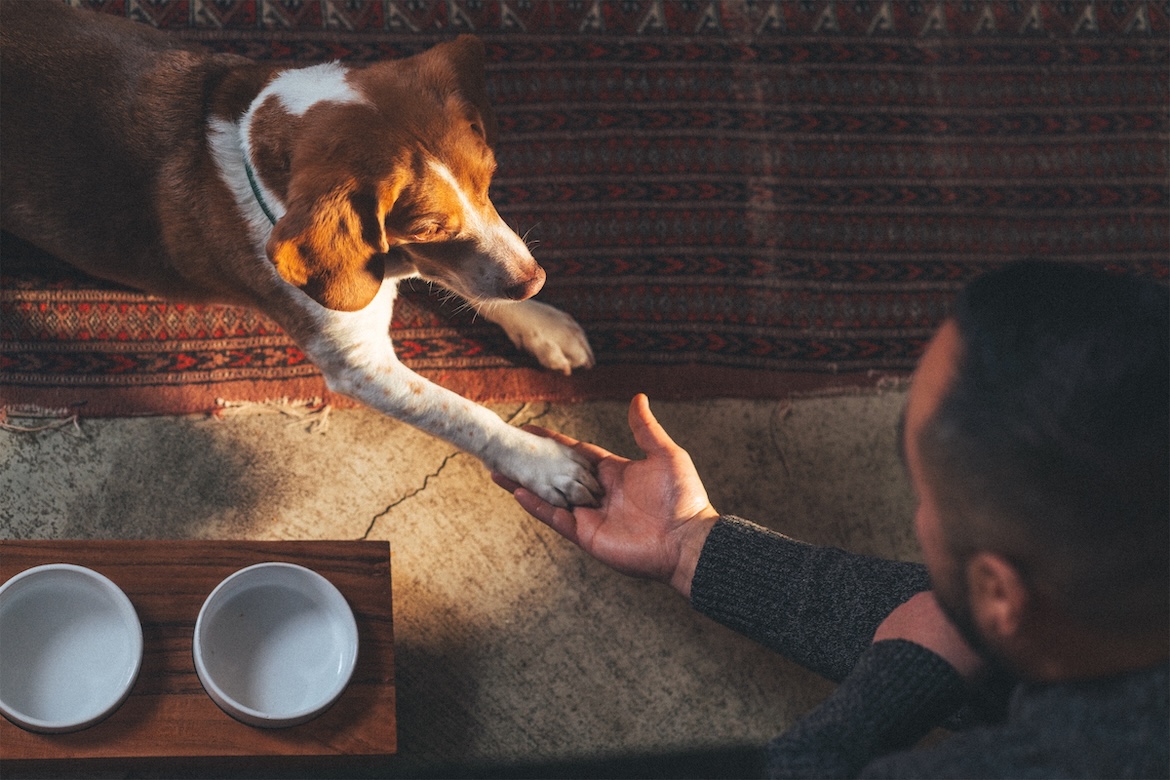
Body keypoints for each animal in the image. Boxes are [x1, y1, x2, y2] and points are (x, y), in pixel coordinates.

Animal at [2, 0, 603, 509]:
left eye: (489, 181)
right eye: (429, 226)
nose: (535, 281)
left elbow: (478, 278)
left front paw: (541, 323)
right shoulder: (359, 362)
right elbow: (462, 412)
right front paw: (544, 462)